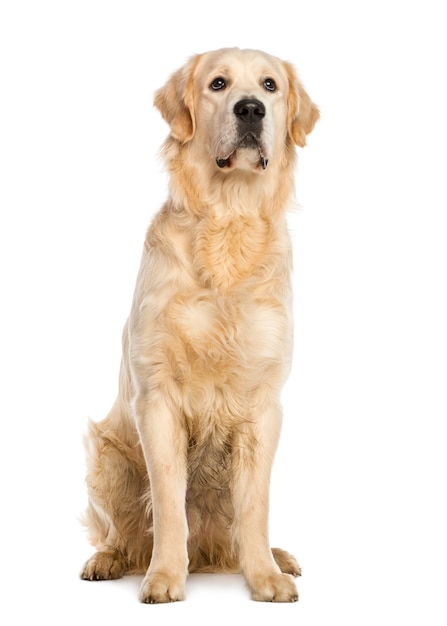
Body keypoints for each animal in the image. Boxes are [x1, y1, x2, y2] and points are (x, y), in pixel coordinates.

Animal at [79, 46, 318, 604]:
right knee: (122, 534)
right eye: (218, 84)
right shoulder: (157, 399)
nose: (250, 109)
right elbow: (168, 505)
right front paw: (165, 576)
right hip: (108, 456)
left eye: (270, 85)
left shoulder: (263, 405)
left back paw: (279, 556)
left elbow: (255, 508)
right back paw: (107, 561)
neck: (229, 218)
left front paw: (264, 577)